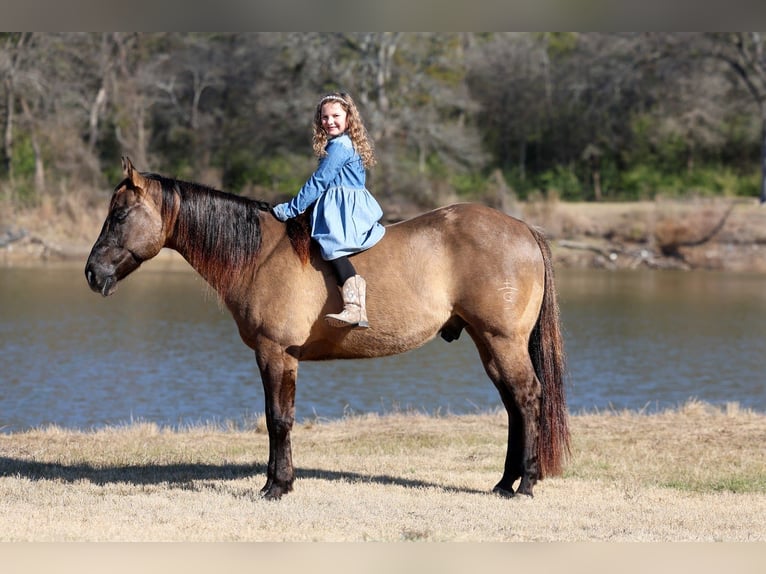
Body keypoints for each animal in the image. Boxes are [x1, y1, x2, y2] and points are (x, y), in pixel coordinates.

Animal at [85, 157, 570, 500]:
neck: (259, 254)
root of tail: (523, 229)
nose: (92, 272)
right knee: (513, 404)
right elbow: (279, 419)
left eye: (120, 216)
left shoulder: (275, 352)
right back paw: (504, 482)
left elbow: (278, 419)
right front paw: (279, 481)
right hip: (488, 343)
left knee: (528, 398)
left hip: (502, 341)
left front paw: (276, 486)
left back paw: (525, 484)